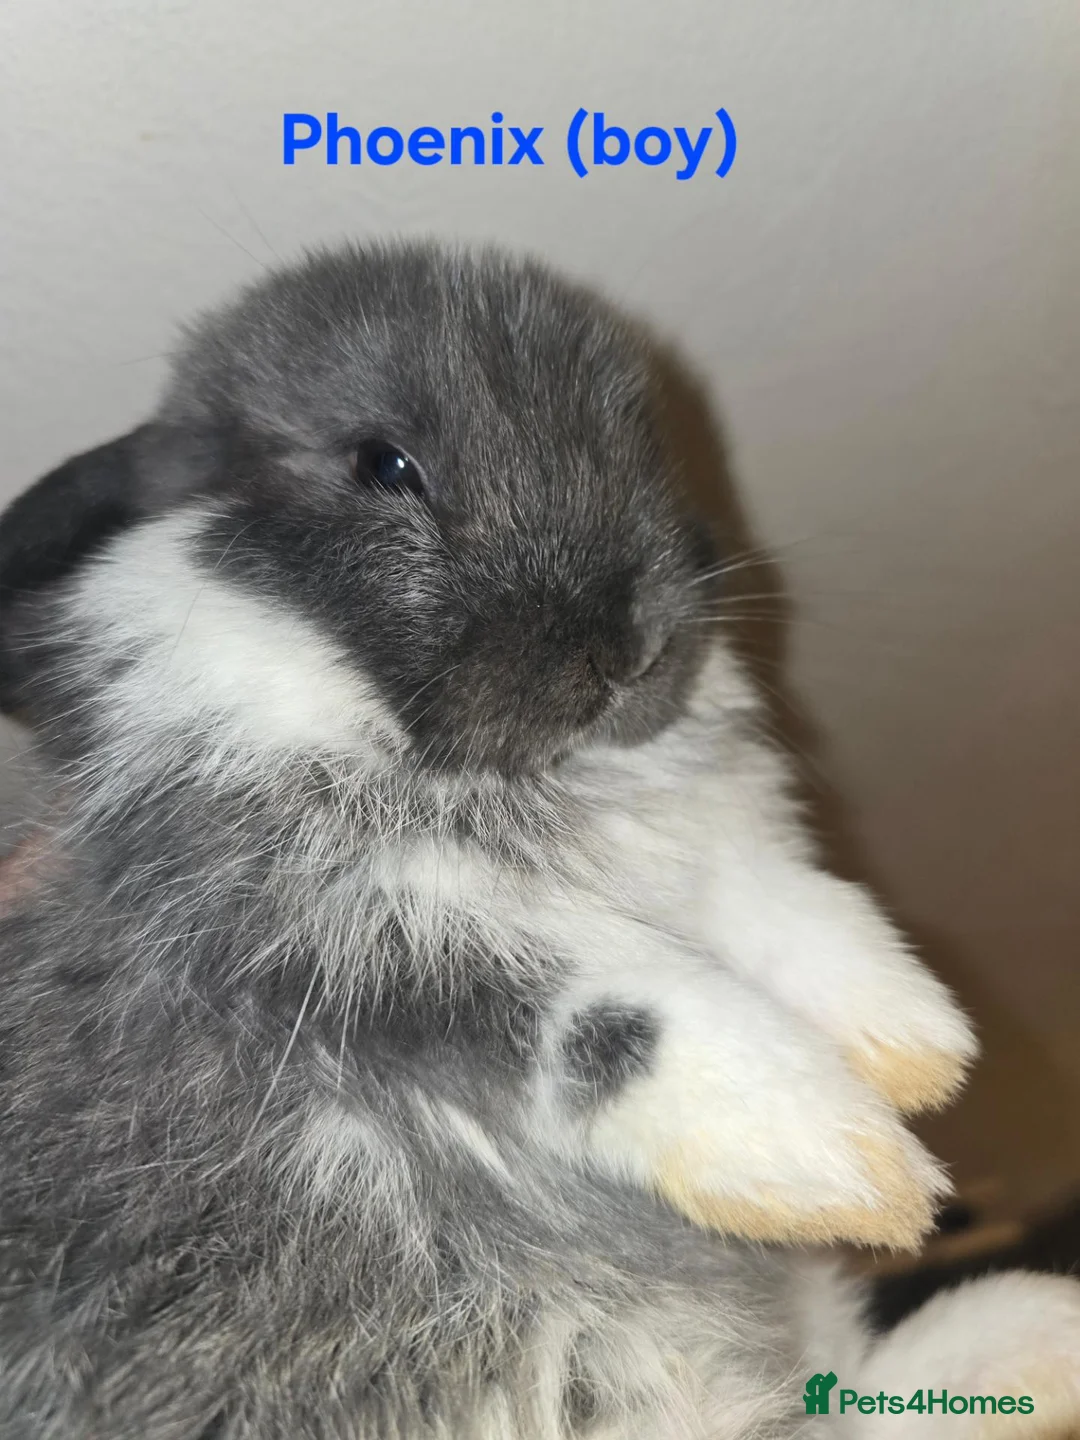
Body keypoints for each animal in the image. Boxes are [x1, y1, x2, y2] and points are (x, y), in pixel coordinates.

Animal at [0, 240, 1076, 1440]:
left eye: (640, 442)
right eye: (383, 464)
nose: (629, 647)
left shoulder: (698, 857)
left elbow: (778, 903)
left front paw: (920, 1044)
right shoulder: (349, 932)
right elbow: (624, 1015)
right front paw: (851, 1162)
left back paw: (1033, 1333)